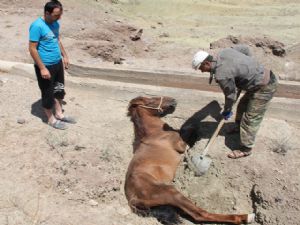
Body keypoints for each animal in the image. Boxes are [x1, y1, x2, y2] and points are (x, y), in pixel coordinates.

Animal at [125, 96, 254, 224]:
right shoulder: (181, 145)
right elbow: (189, 132)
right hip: (172, 193)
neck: (155, 132)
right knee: (199, 214)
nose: (173, 100)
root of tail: (133, 198)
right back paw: (245, 217)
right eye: (150, 100)